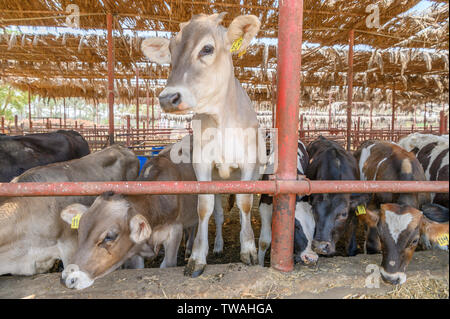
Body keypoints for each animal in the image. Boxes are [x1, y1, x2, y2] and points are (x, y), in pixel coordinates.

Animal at [60, 149, 198, 292]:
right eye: (80, 231)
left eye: (109, 237)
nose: (66, 279)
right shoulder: (135, 248)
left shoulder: (175, 231)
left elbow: (167, 264)